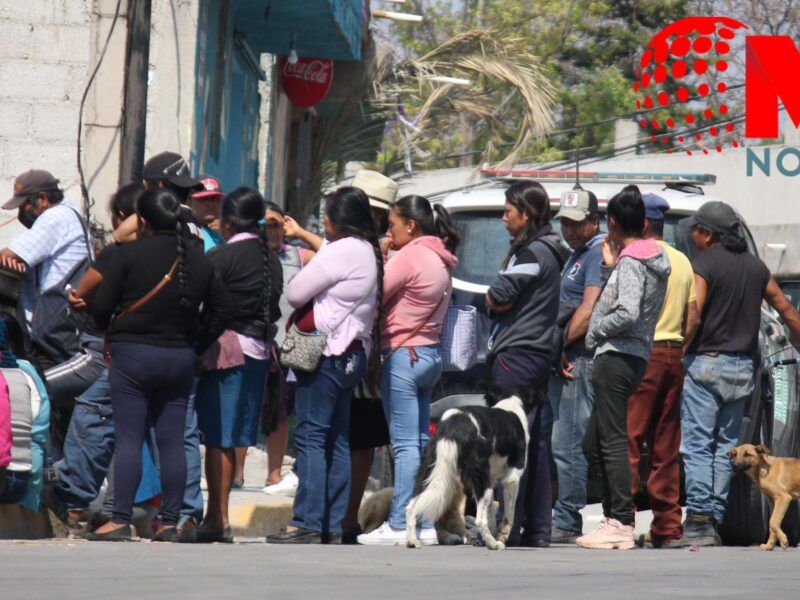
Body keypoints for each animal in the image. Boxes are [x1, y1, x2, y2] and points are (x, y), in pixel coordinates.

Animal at [404, 386, 536, 552]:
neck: (509, 404)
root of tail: (453, 427)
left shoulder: (491, 478)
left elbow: (491, 512)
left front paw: (491, 534)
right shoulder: (512, 477)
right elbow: (509, 514)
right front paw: (501, 535)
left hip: (429, 470)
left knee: (411, 506)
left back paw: (412, 541)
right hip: (479, 478)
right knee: (479, 520)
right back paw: (493, 544)